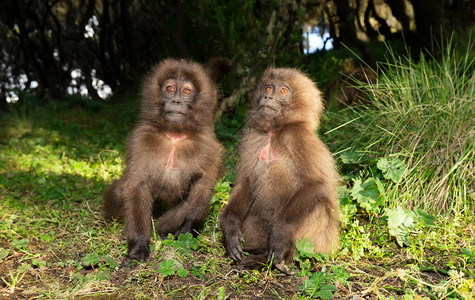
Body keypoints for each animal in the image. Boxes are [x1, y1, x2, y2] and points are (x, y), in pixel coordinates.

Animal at [105, 59, 224, 264]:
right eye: (170, 89)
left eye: (186, 92)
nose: (176, 101)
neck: (174, 135)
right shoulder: (141, 138)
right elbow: (136, 187)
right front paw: (138, 246)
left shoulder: (208, 145)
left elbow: (203, 186)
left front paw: (188, 229)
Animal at [221, 68, 340, 270]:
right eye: (269, 88)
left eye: (283, 91)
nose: (267, 97)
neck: (274, 131)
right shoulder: (253, 136)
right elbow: (246, 182)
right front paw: (229, 228)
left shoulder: (299, 137)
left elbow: (316, 185)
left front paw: (279, 237)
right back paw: (259, 255)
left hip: (320, 242)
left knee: (317, 206)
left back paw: (282, 258)